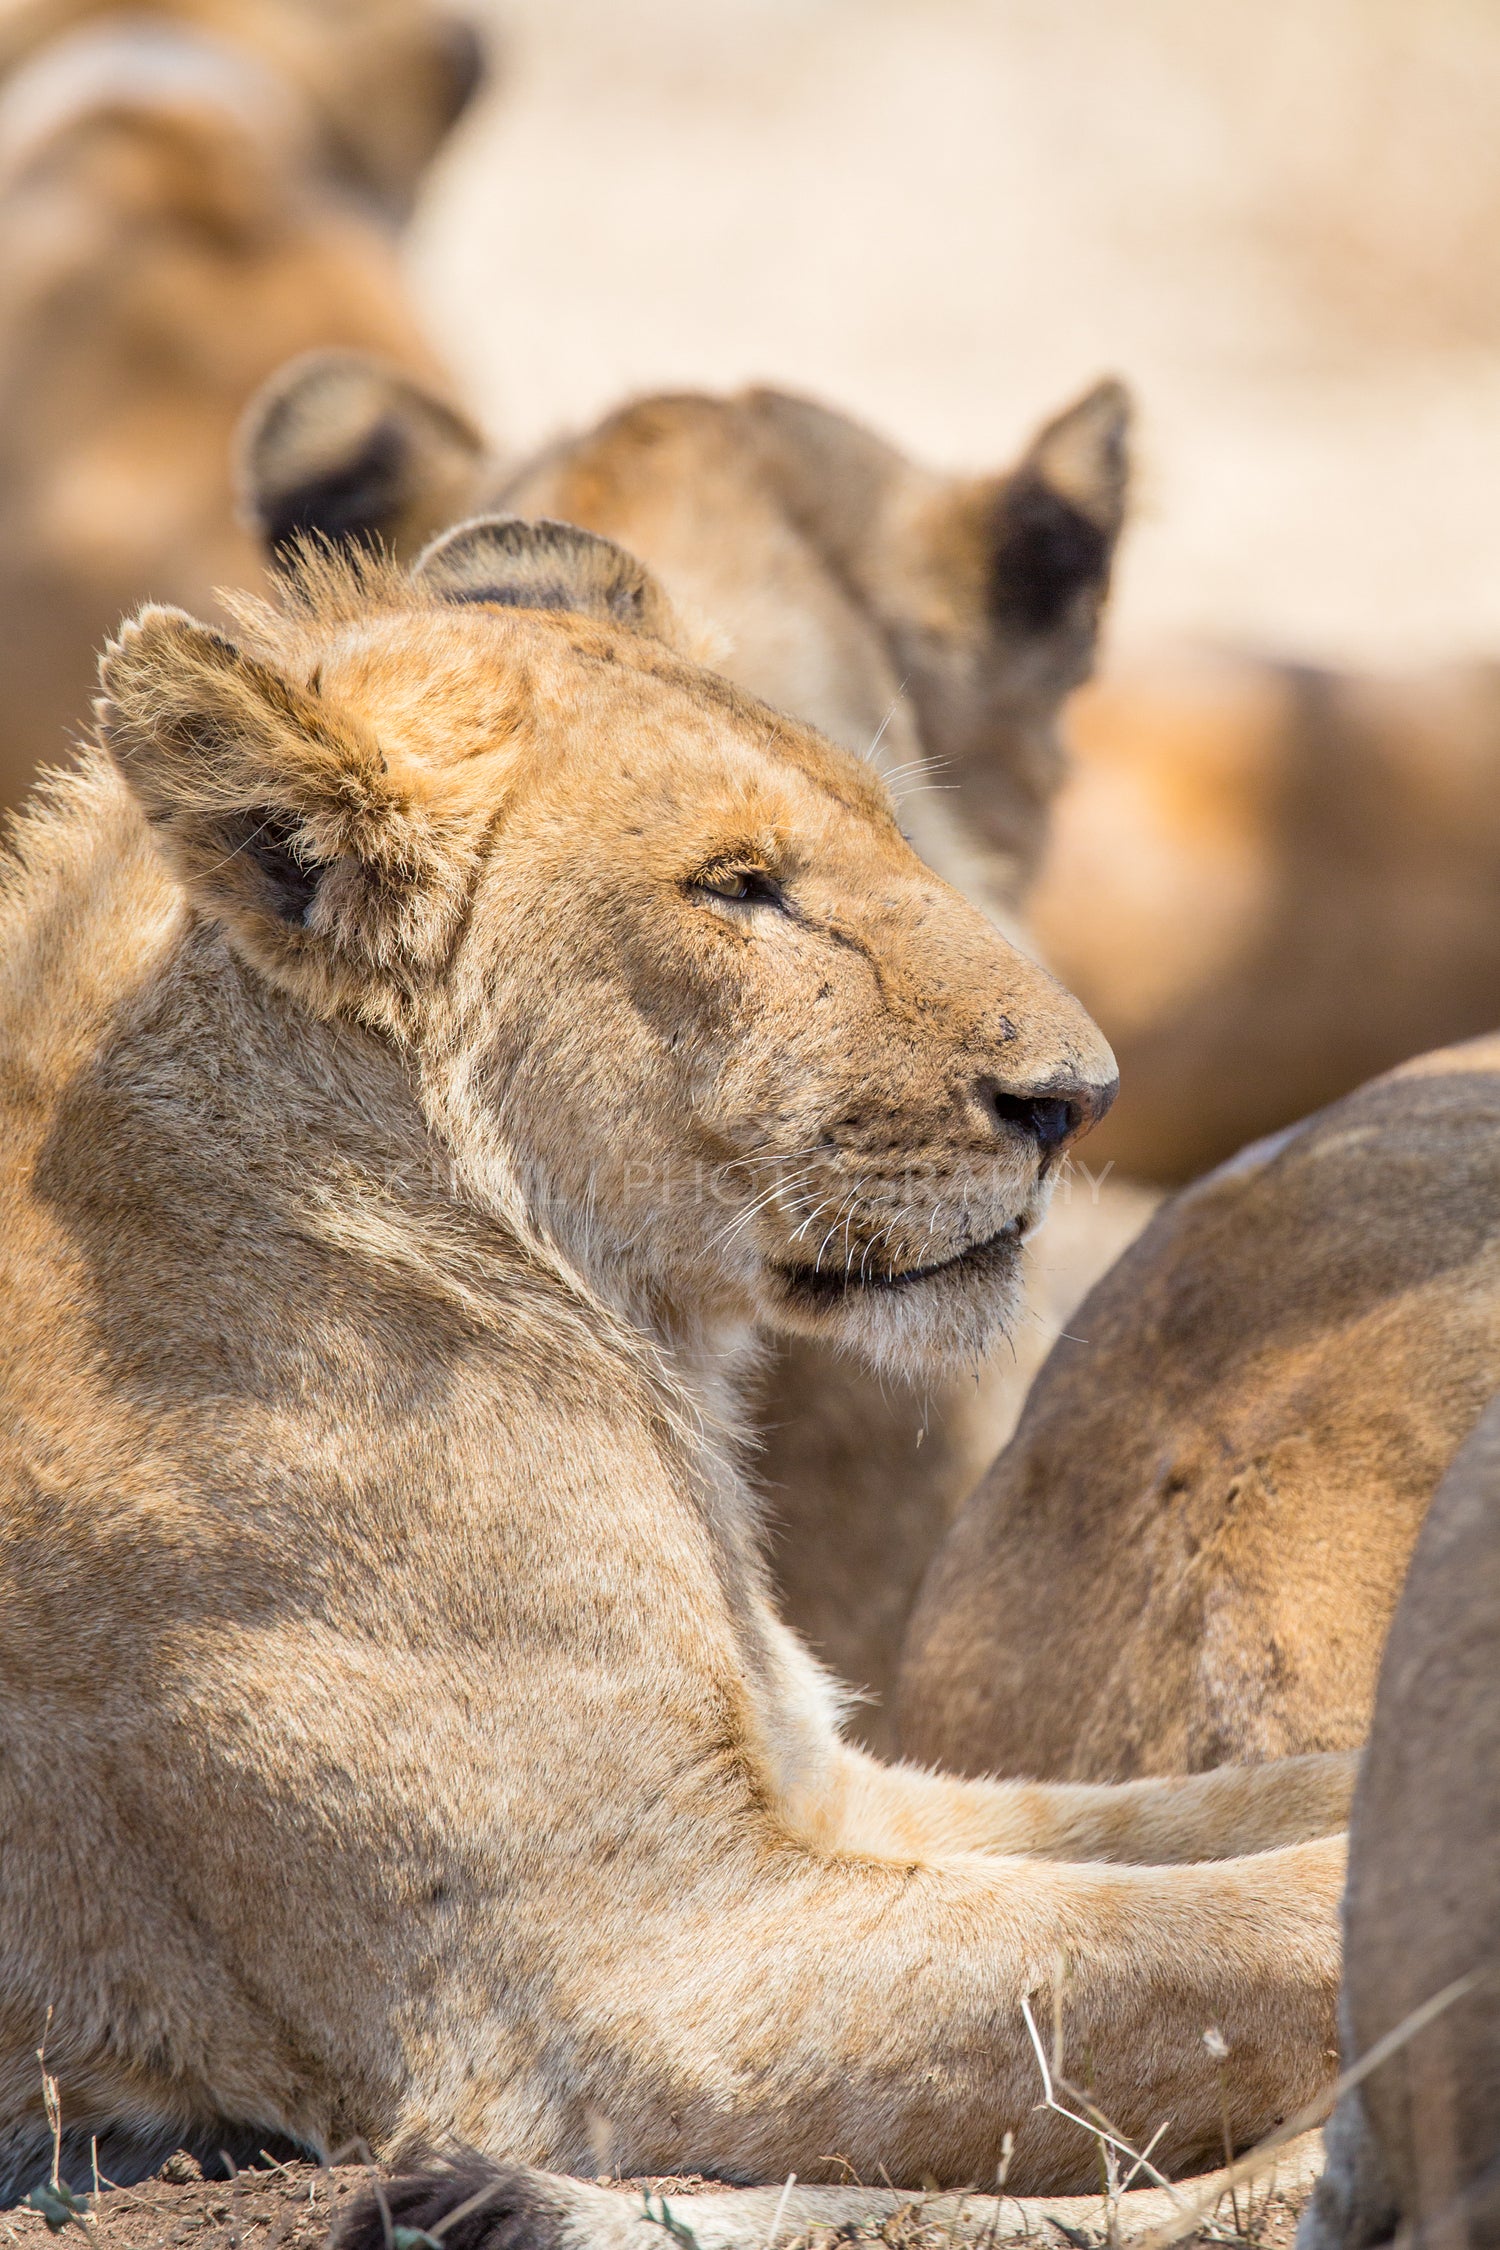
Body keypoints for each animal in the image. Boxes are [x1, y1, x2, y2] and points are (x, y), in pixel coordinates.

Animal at [0, 515, 1349, 2214]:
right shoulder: (628, 1978)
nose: (1080, 1099)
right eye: (740, 886)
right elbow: (1200, 1933)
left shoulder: (813, 1787)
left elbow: (1255, 1808)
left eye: (883, 826)